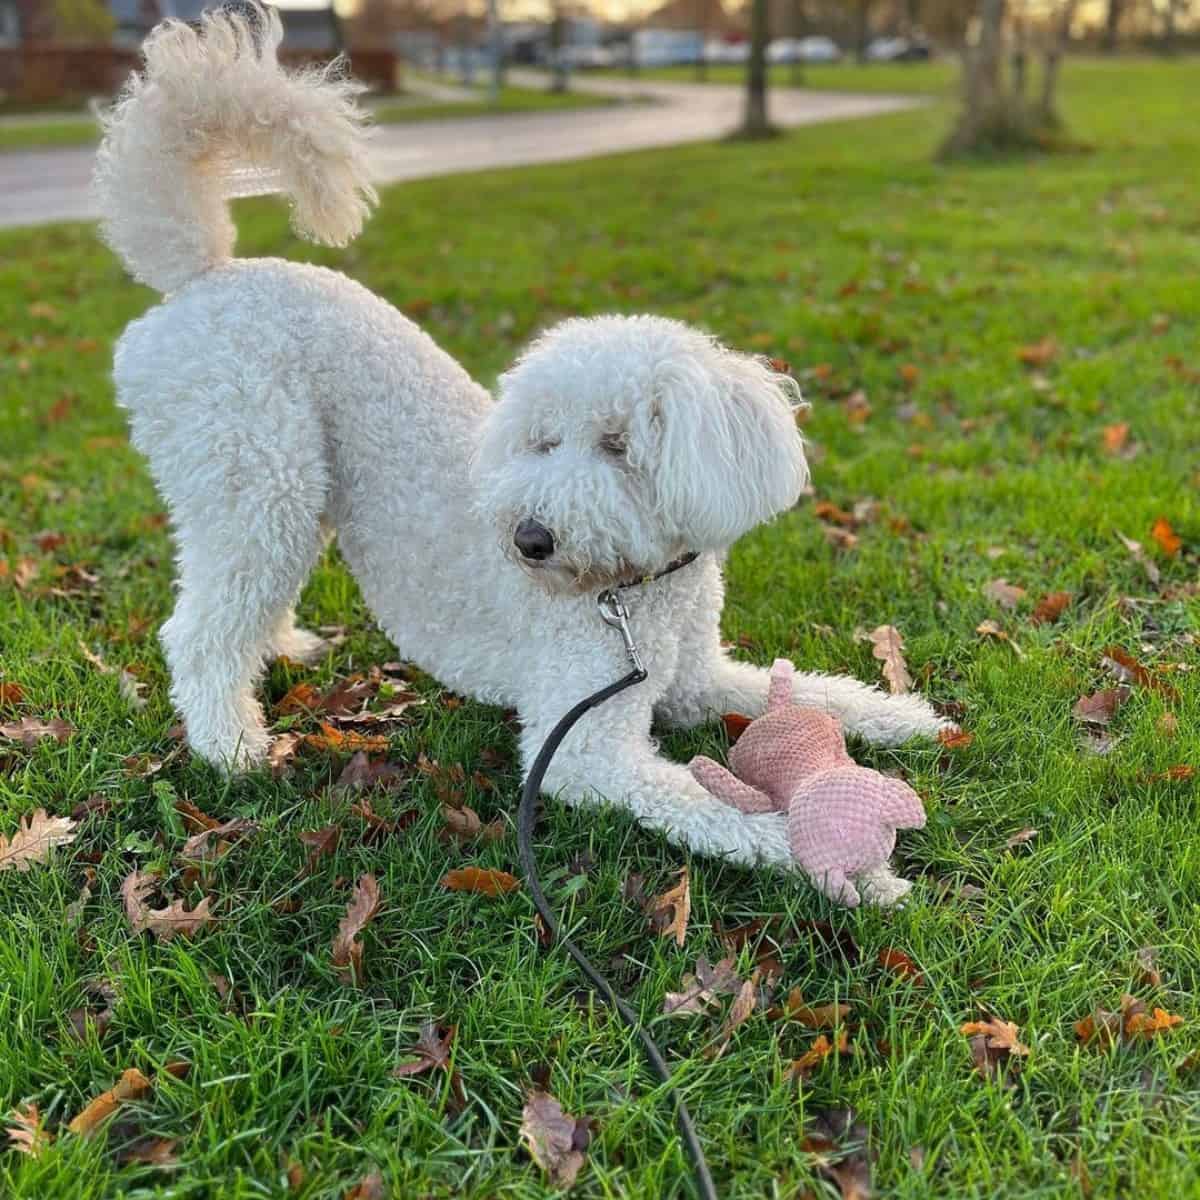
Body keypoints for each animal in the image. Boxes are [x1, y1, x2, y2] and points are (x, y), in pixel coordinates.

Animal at [96, 7, 945, 883]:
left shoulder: (696, 680)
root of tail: (203, 274)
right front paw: (844, 863)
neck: (636, 595)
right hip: (253, 474)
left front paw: (907, 717)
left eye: (618, 446)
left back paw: (279, 651)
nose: (530, 540)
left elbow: (811, 690)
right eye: (543, 442)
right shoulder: (582, 744)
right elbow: (714, 807)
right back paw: (230, 746)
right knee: (198, 630)